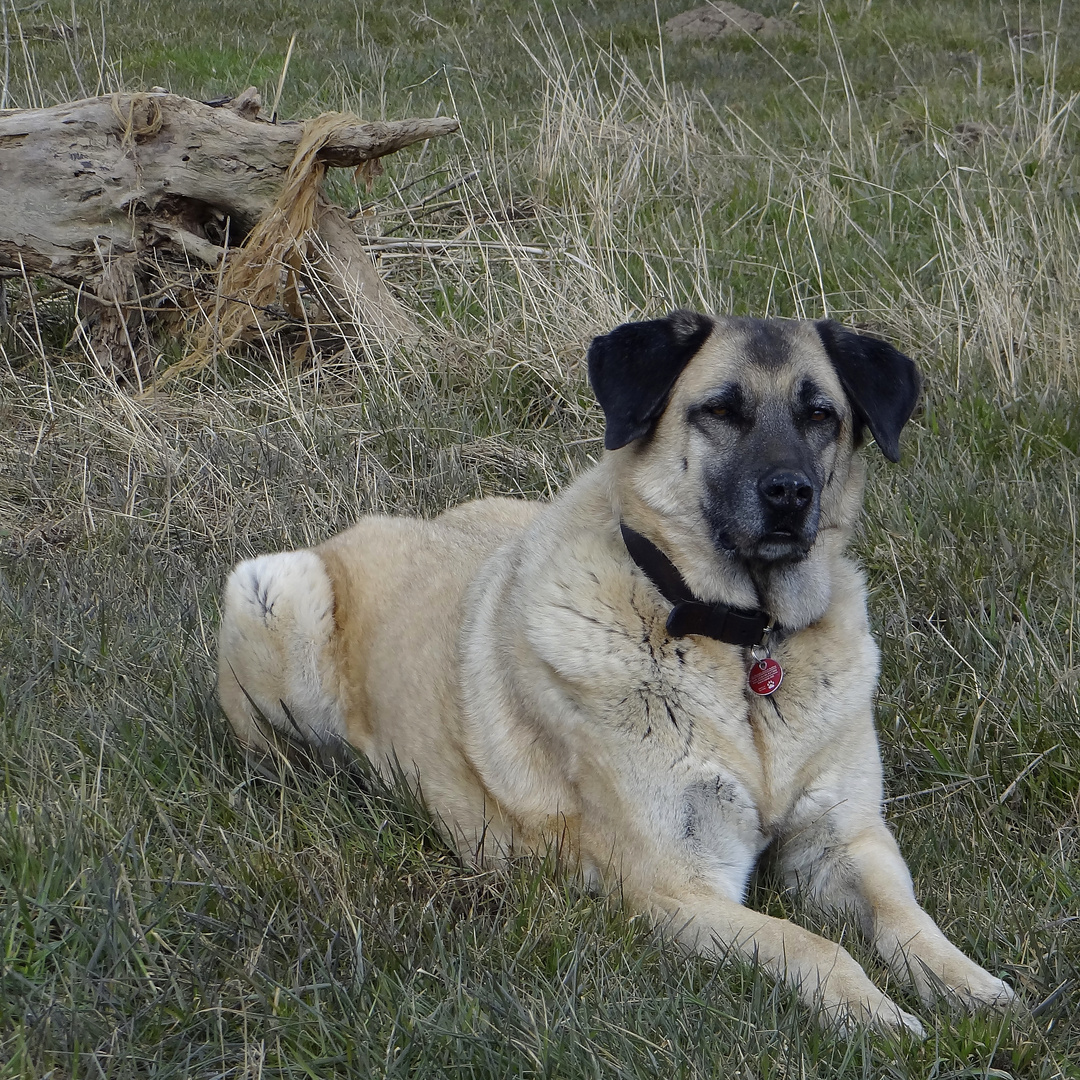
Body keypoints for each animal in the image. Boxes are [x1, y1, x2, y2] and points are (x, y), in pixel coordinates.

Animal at [217, 311, 1010, 1028]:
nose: (790, 494)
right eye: (721, 410)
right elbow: (814, 947)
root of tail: (376, 525)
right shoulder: (678, 888)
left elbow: (906, 918)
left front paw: (970, 989)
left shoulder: (845, 840)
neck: (742, 643)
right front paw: (880, 1018)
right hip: (273, 591)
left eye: (821, 415)